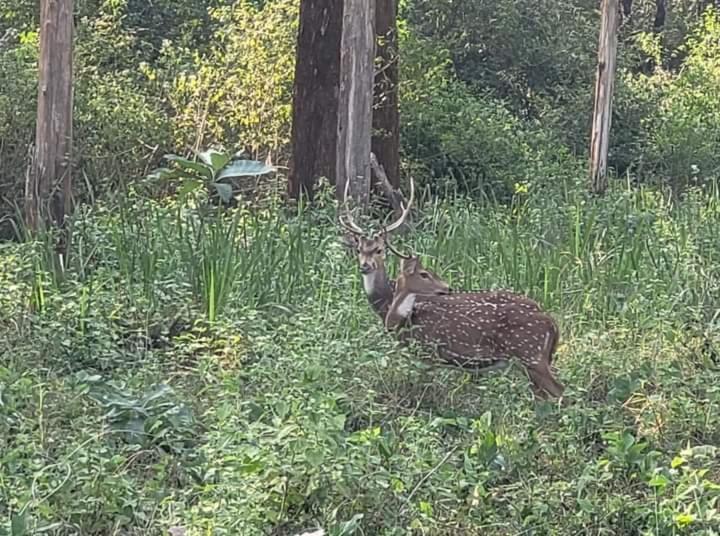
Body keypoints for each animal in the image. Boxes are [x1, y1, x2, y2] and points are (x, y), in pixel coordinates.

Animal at [386, 254, 564, 398]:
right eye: (424, 274)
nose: (447, 288)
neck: (404, 319)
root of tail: (553, 323)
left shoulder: (430, 352)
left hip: (531, 355)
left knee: (559, 390)